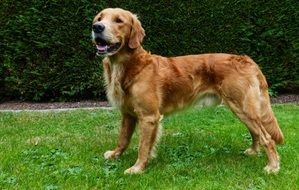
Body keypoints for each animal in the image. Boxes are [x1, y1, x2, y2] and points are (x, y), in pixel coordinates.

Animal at [91, 7, 284, 174]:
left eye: (119, 20)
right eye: (99, 18)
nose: (97, 27)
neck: (129, 65)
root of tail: (247, 59)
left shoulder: (149, 116)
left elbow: (143, 146)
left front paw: (137, 168)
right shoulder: (128, 114)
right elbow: (123, 138)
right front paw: (115, 155)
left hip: (242, 107)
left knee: (267, 137)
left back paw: (273, 166)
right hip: (242, 109)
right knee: (256, 133)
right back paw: (253, 151)